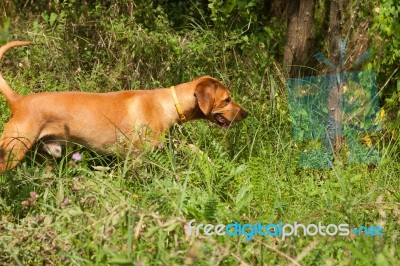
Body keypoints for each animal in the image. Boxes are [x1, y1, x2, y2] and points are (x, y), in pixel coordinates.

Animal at [0, 40, 248, 171]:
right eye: (227, 100)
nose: (246, 113)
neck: (168, 103)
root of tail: (18, 101)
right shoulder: (138, 157)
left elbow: (191, 148)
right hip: (13, 150)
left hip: (47, 153)